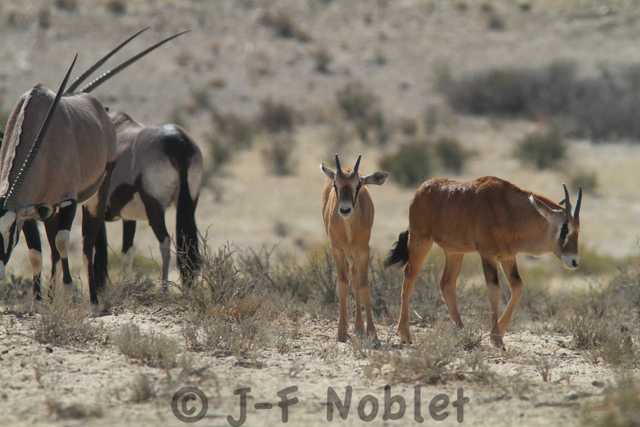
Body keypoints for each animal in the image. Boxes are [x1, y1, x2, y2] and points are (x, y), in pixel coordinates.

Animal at [0, 28, 187, 307]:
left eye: (8, 229)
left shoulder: (65, 202)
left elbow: (62, 242)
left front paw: (66, 292)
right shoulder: (34, 209)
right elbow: (38, 252)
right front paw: (40, 301)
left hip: (96, 193)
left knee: (88, 242)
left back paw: (94, 299)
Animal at [320, 154, 389, 343]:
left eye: (358, 184)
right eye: (335, 184)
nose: (345, 210)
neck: (349, 229)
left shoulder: (364, 251)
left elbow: (363, 284)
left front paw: (372, 332)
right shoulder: (337, 251)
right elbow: (343, 283)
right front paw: (341, 332)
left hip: (355, 254)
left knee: (356, 277)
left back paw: (359, 327)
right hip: (346, 254)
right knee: (351, 277)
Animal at [385, 176, 582, 348]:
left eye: (577, 229)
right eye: (565, 228)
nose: (574, 261)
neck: (509, 209)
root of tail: (422, 189)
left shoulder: (508, 257)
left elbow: (517, 287)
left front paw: (498, 333)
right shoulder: (487, 255)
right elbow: (494, 289)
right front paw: (496, 339)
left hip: (455, 252)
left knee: (447, 283)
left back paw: (461, 330)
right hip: (421, 241)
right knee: (409, 276)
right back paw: (405, 334)